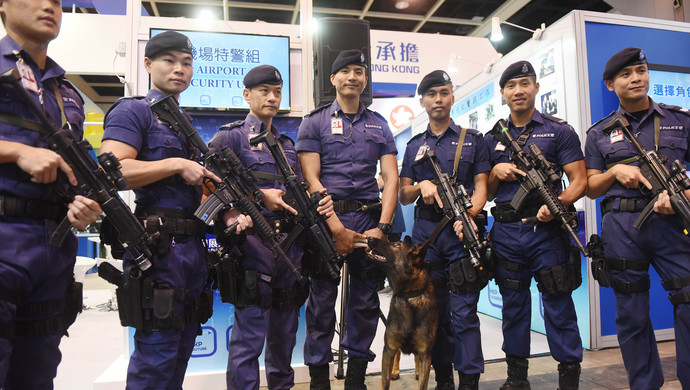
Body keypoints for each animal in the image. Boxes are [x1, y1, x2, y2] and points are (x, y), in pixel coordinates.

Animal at [366, 236, 436, 388]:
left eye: (397, 245)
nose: (369, 237)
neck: (408, 296)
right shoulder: (389, 349)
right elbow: (385, 382)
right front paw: (393, 372)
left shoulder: (425, 355)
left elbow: (423, 383)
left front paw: (419, 373)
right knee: (398, 354)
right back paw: (395, 371)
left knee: (416, 357)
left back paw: (416, 371)